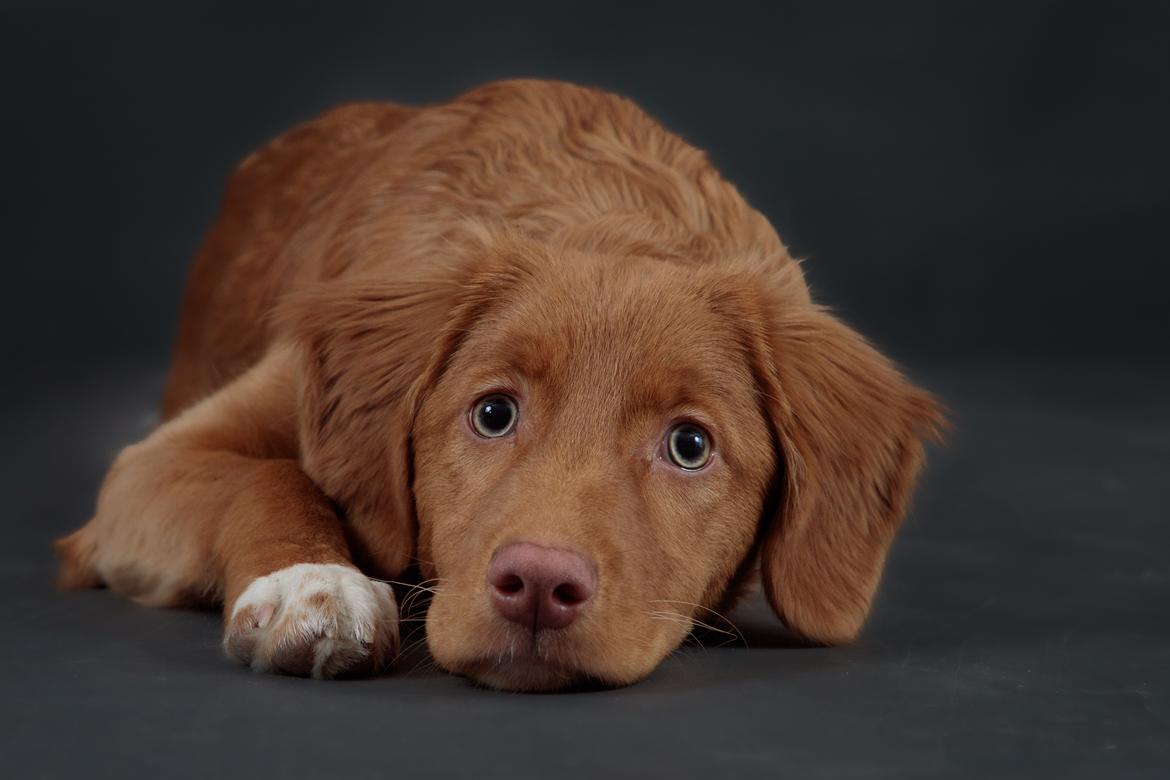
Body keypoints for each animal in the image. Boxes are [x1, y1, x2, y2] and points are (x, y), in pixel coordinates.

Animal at [57, 79, 950, 687]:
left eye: (690, 445)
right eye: (492, 413)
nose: (540, 587)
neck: (596, 212)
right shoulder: (151, 466)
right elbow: (271, 478)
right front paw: (313, 585)